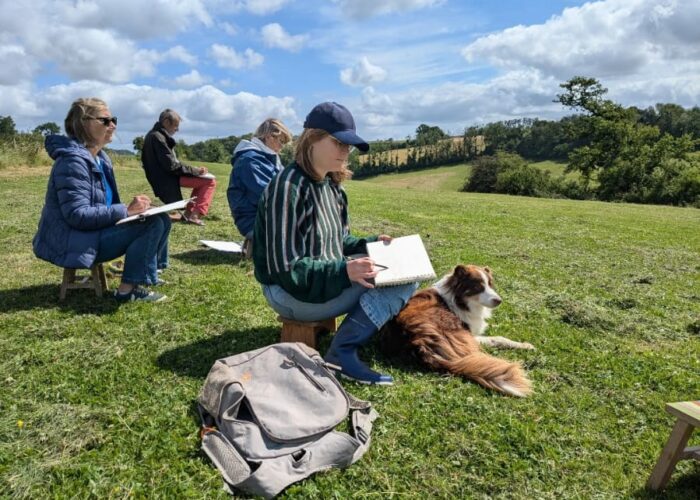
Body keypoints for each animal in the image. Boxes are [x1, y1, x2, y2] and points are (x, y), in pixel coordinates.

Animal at [382, 264, 536, 396]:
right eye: (478, 287)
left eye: (490, 284)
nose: (499, 301)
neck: (458, 300)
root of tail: (419, 342)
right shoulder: (470, 334)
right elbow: (497, 338)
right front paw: (525, 345)